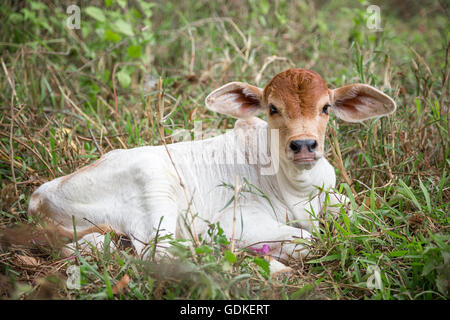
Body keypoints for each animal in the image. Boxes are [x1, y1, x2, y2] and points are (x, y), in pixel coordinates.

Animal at [28, 67, 396, 272]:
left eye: (326, 107)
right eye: (273, 108)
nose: (304, 145)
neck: (297, 189)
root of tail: (38, 198)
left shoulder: (335, 197)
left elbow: (358, 216)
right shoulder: (239, 220)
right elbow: (307, 239)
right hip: (155, 190)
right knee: (162, 257)